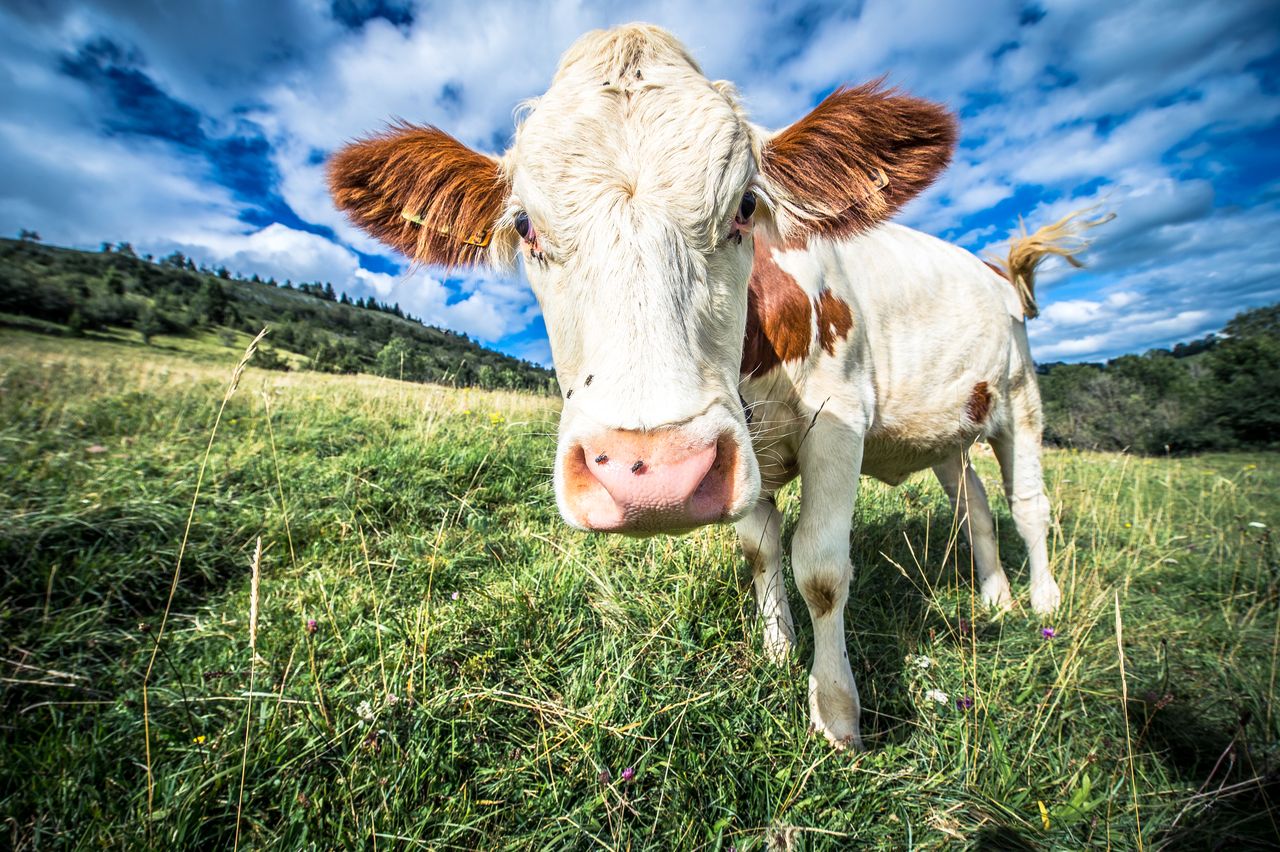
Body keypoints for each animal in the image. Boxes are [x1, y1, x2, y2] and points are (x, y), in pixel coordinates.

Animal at [328, 23, 1103, 750]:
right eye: (524, 226)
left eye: (746, 207)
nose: (650, 472)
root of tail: (994, 270)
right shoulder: (746, 452)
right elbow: (762, 551)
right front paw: (778, 652)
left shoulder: (840, 418)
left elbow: (820, 567)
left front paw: (836, 715)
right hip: (948, 431)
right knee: (974, 506)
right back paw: (996, 598)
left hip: (1020, 399)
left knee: (1028, 505)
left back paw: (1042, 601)